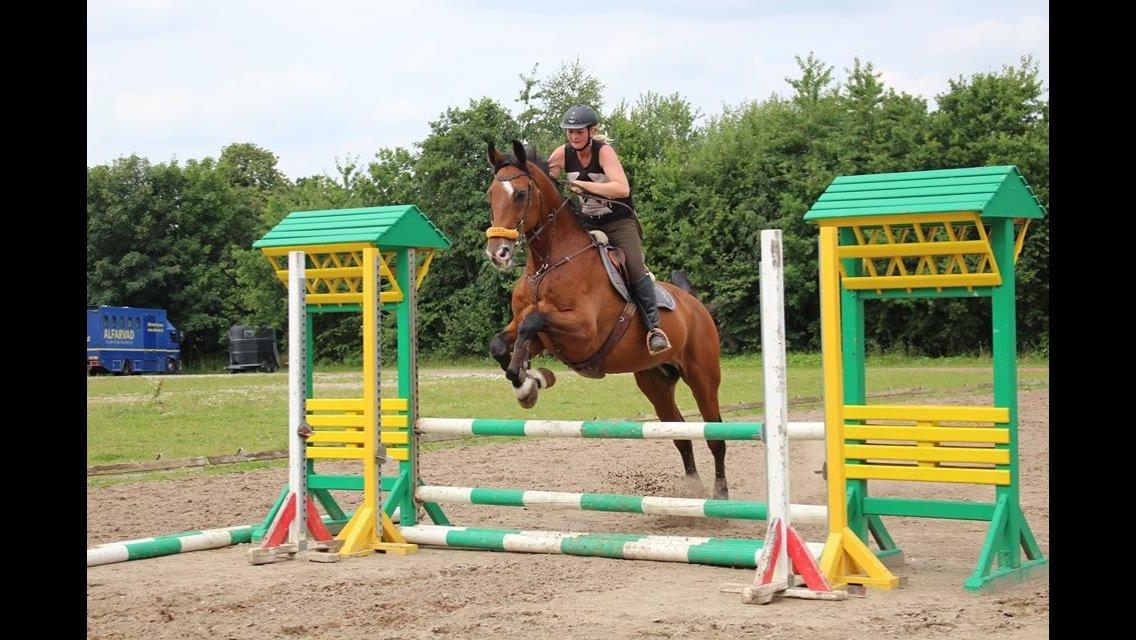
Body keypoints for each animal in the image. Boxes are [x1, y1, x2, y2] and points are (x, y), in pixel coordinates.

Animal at [479, 140, 727, 500]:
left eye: (521, 194)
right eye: (491, 193)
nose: (497, 253)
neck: (547, 265)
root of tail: (696, 306)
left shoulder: (583, 333)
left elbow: (532, 322)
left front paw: (529, 381)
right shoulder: (541, 337)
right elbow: (502, 342)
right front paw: (529, 382)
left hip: (703, 377)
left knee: (716, 435)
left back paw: (720, 494)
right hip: (655, 382)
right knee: (680, 433)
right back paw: (693, 490)